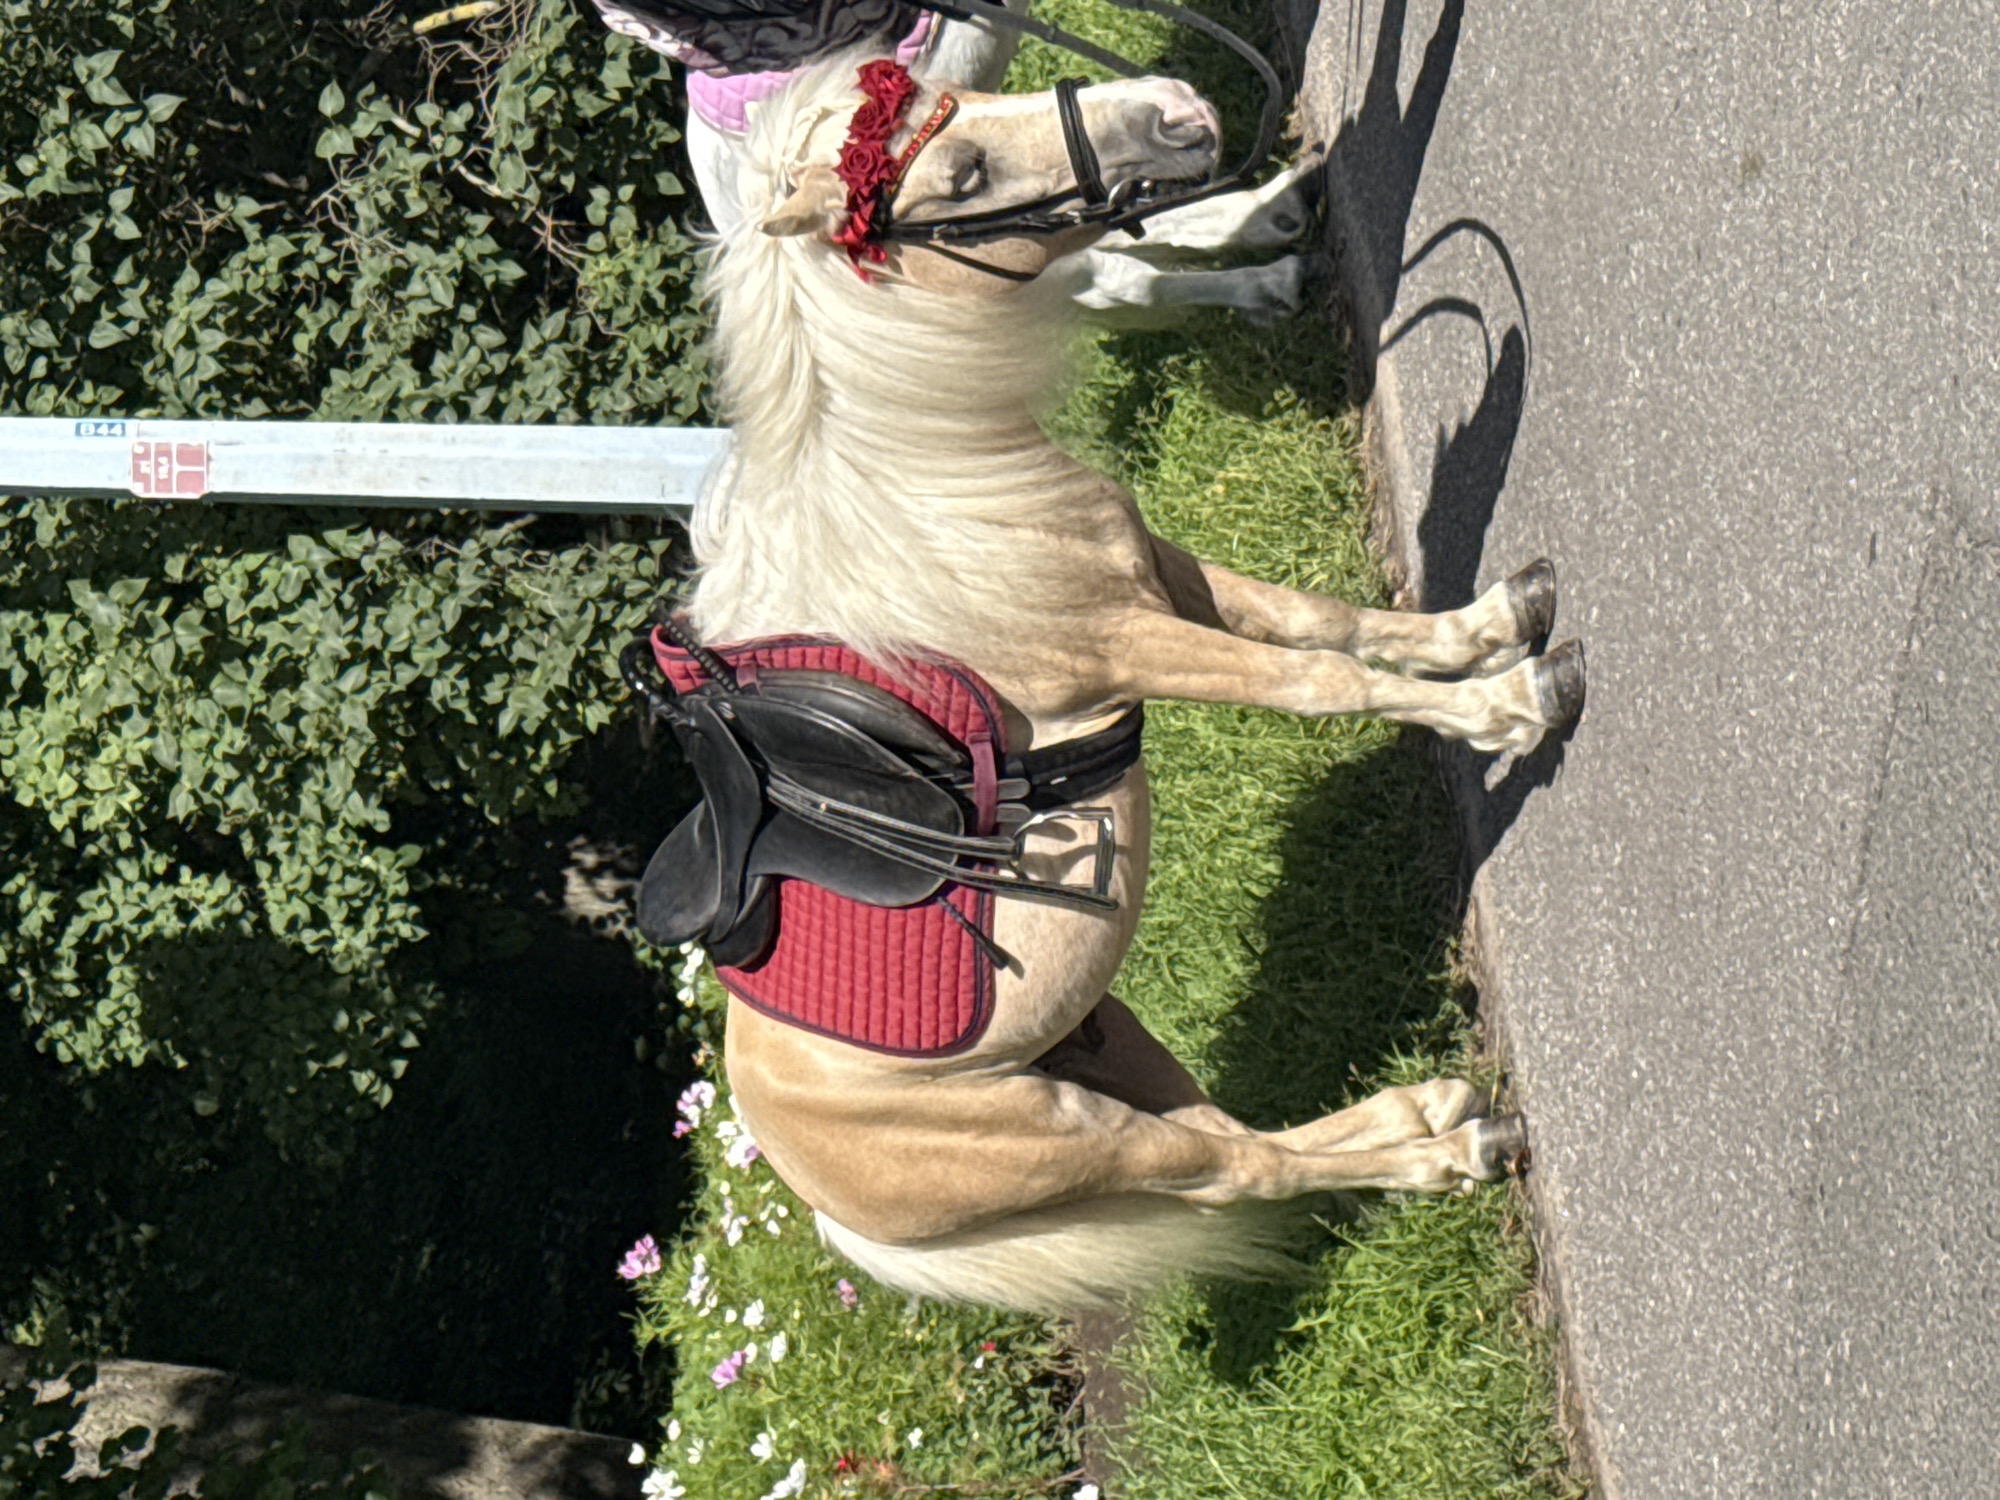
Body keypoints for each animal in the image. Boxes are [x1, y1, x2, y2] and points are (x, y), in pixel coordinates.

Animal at [657, 50, 1583, 1314]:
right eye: (962, 174)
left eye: (957, 94)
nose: (1176, 109)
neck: (930, 503)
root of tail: (808, 1191)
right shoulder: (1132, 644)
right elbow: (1318, 682)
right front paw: (1507, 705)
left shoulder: (1161, 575)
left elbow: (1326, 623)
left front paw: (1490, 626)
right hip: (1085, 1138)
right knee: (1235, 1172)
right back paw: (1453, 1149)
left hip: (1113, 1048)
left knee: (1243, 1144)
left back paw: (1433, 1116)